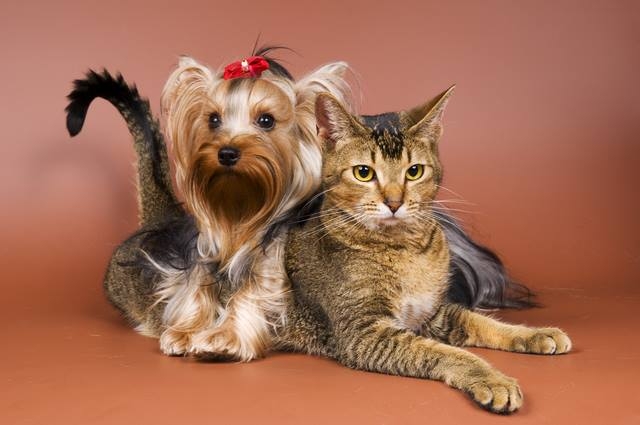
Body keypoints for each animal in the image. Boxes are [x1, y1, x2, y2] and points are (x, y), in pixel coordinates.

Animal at [275, 88, 572, 413]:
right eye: (364, 173)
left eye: (414, 172)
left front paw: (536, 334)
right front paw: (493, 380)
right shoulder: (363, 332)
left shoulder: (432, 315)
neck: (406, 250)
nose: (394, 202)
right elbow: (447, 353)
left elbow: (482, 321)